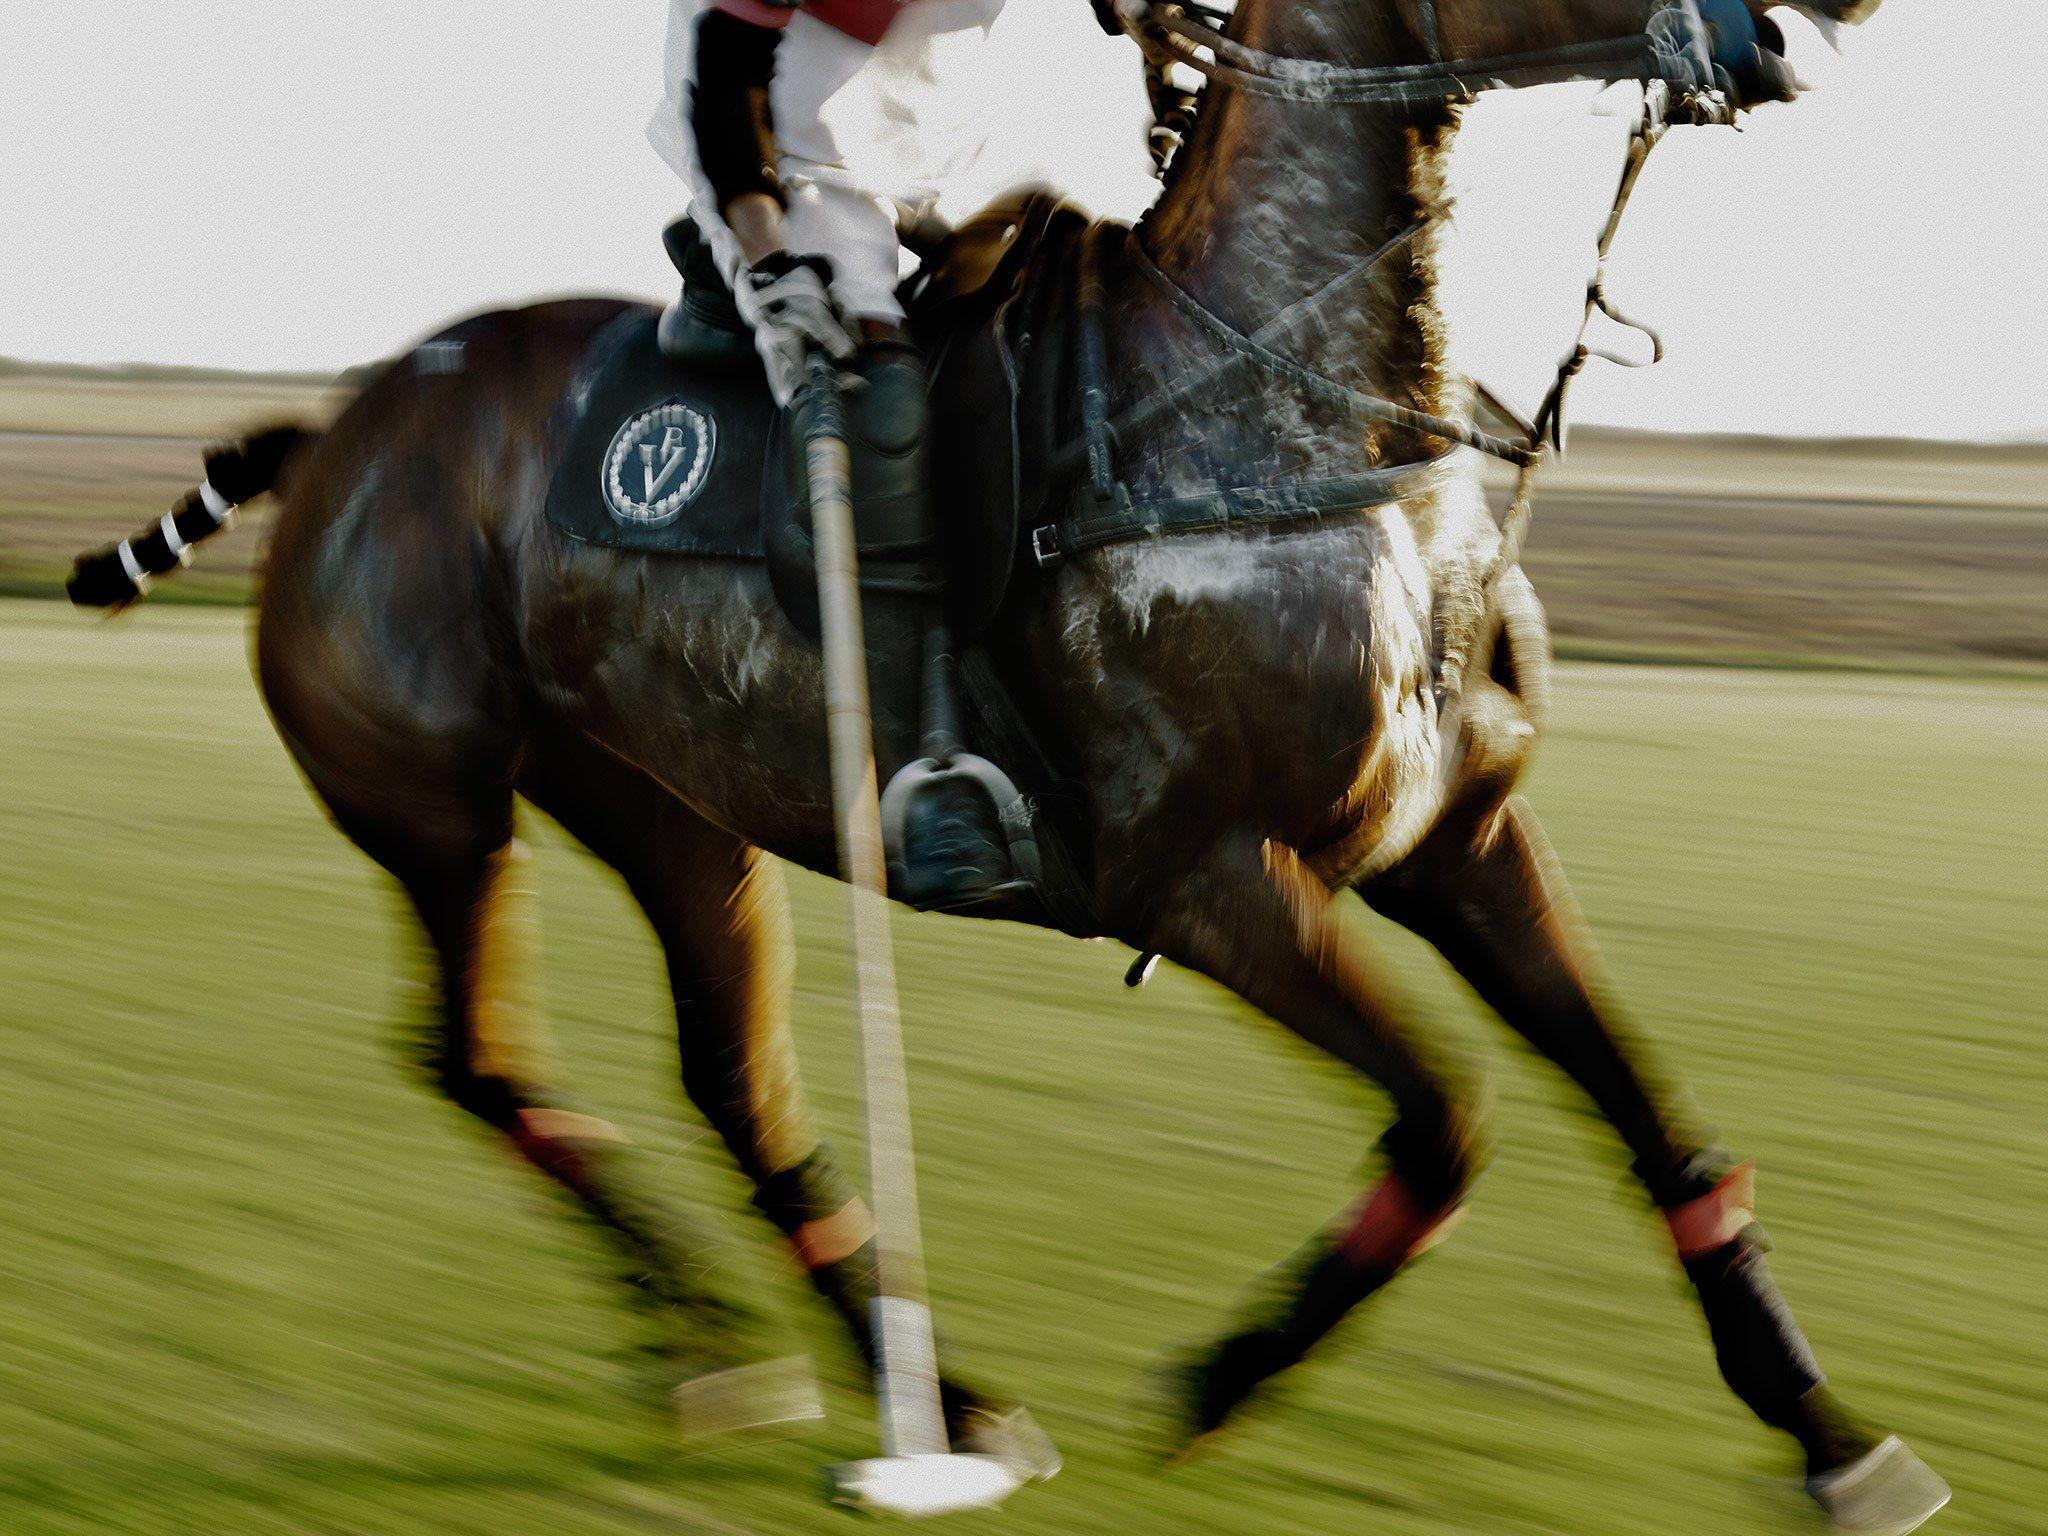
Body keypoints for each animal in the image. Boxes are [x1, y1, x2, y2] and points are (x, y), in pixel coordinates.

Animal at [72, 0, 1947, 1527]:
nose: (1804, 20)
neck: (1290, 419)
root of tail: (338, 426)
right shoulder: (1204, 878)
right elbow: (1448, 1126)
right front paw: (1214, 1382)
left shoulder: (1459, 836)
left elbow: (1653, 1117)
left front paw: (1828, 1433)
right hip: (438, 807)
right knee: (475, 1056)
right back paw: (764, 1357)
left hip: (672, 809)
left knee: (731, 1085)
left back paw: (906, 1389)